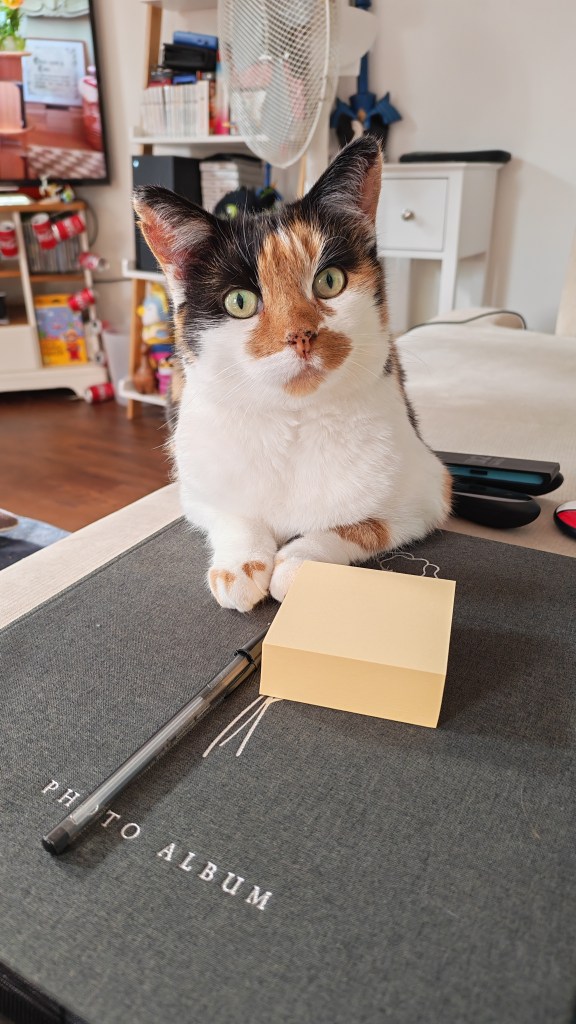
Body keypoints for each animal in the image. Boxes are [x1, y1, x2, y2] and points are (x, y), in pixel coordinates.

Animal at [133, 136, 452, 613]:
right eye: (240, 302)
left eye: (330, 281)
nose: (301, 335)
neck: (292, 422)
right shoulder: (195, 488)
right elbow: (232, 512)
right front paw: (240, 565)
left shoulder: (429, 490)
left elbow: (363, 524)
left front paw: (300, 562)